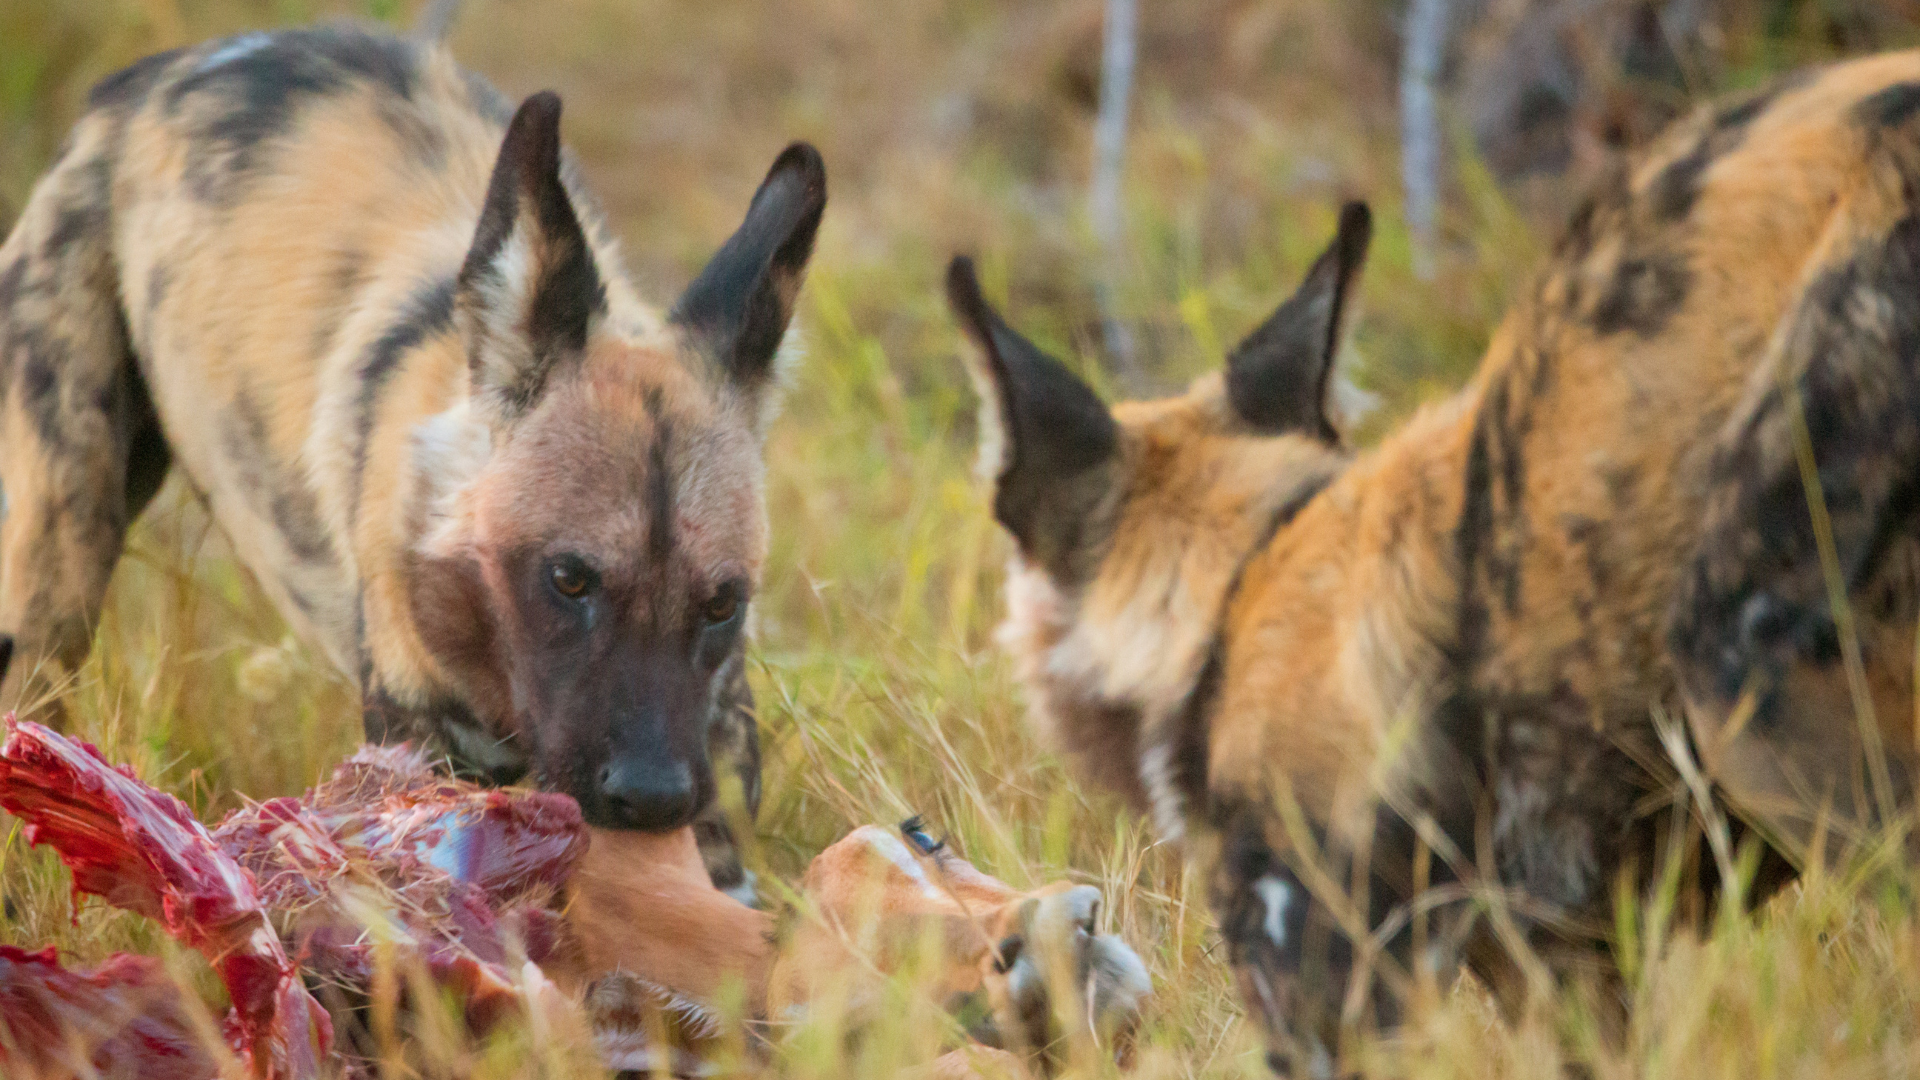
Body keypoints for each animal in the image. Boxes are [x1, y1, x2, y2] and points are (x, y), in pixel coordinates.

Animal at [0, 27, 821, 899]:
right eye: (569, 579)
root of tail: (147, 77)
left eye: (722, 602)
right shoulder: (424, 765)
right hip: (58, 574)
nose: (649, 795)